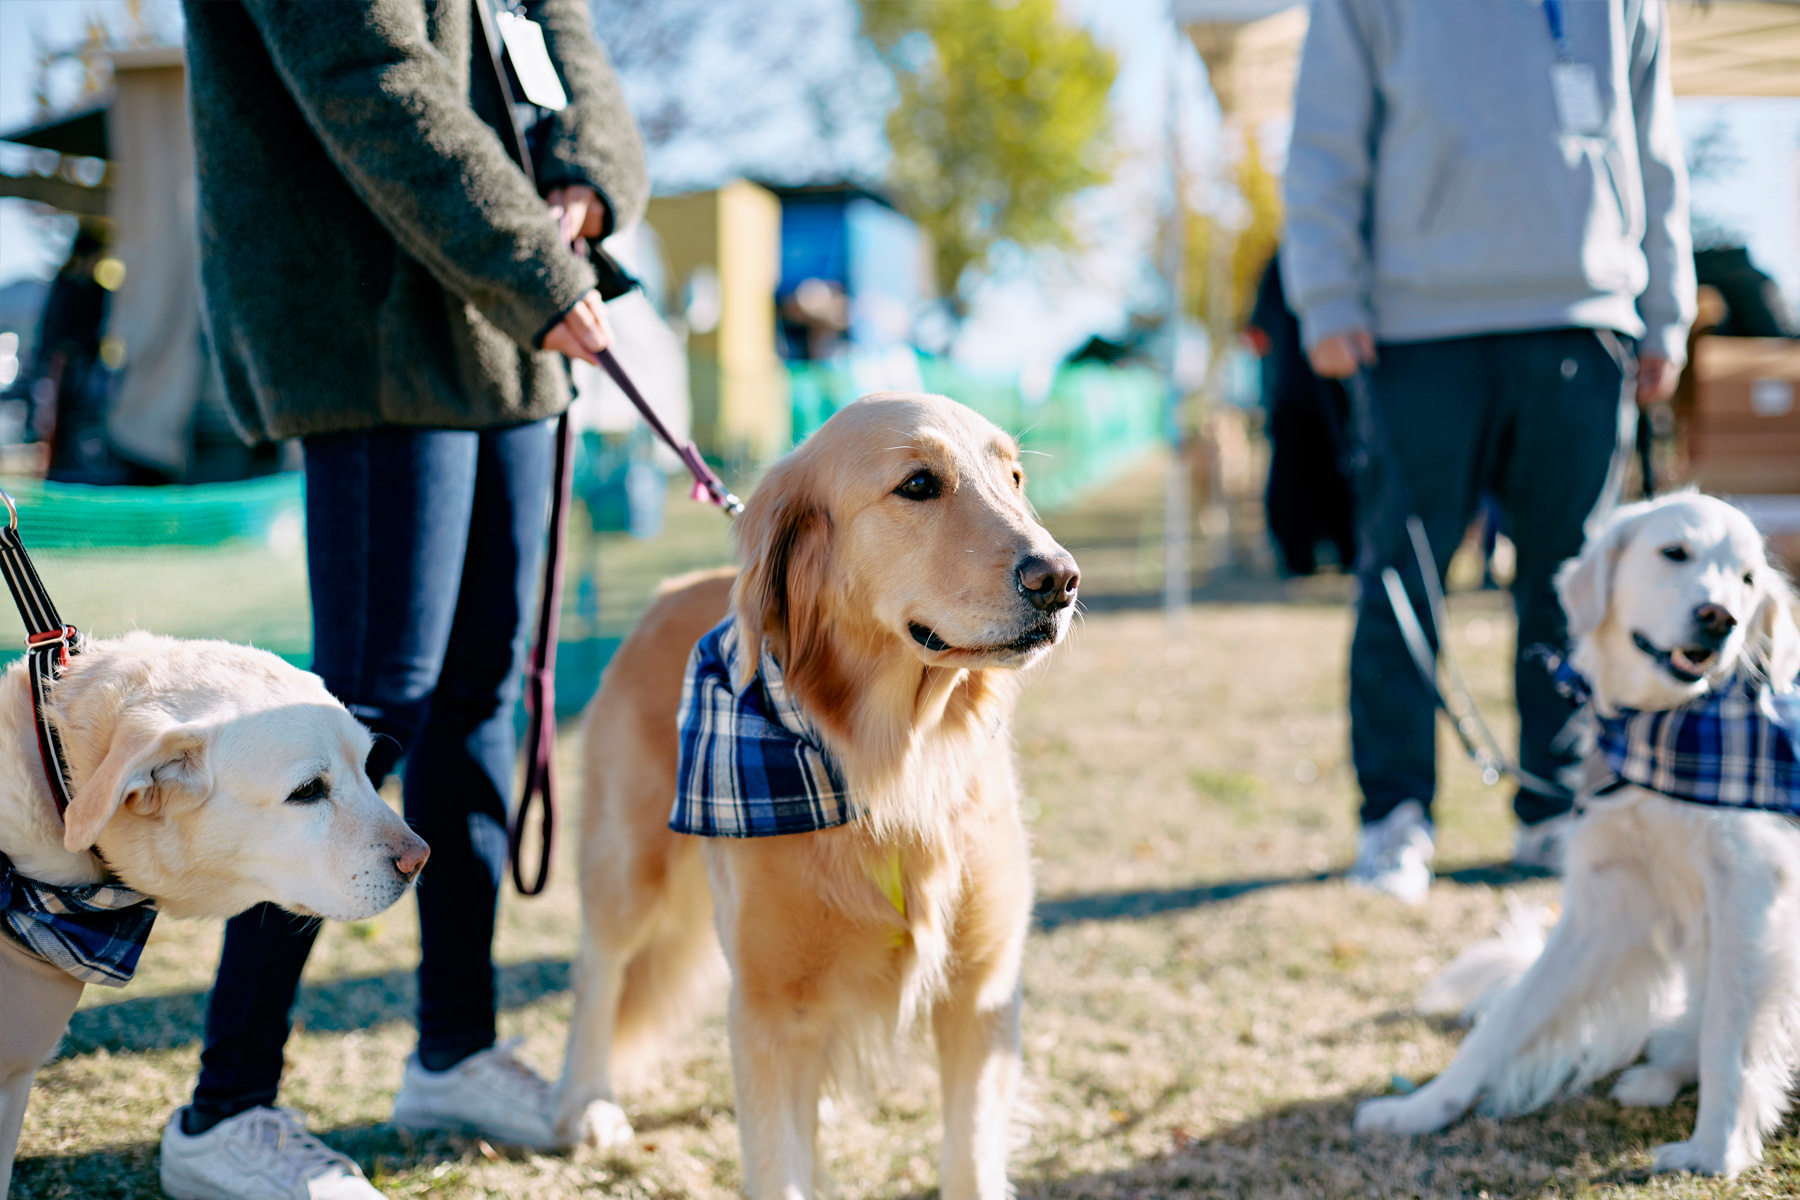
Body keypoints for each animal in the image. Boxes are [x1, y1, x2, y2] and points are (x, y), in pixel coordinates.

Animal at [1353, 492, 1800, 1180]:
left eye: (1748, 580)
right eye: (1675, 552)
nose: (1719, 618)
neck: (1660, 732)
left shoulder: (1750, 890)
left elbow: (1731, 1031)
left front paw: (1714, 1150)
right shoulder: (1606, 904)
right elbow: (1506, 1022)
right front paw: (1421, 1109)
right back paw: (1656, 1076)